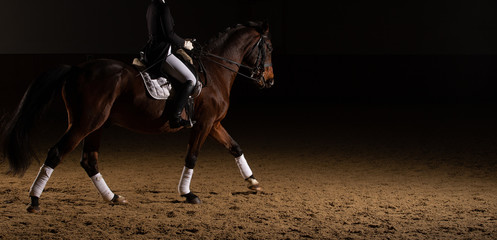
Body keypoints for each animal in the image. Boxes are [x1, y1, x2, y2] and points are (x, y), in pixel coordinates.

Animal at [0, 20, 274, 212]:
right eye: (269, 47)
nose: (270, 80)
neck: (215, 72)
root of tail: (76, 69)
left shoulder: (214, 123)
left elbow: (235, 147)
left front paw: (253, 182)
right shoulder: (204, 124)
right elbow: (192, 157)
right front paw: (188, 194)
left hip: (96, 126)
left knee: (89, 161)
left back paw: (113, 197)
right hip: (84, 123)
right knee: (56, 153)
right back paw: (34, 201)